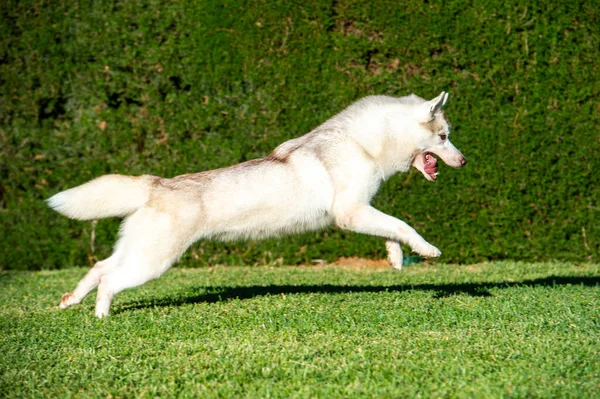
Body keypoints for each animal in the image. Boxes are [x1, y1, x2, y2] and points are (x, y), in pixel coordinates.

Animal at [49, 91, 466, 318]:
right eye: (444, 136)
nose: (464, 161)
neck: (361, 142)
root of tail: (156, 183)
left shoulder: (362, 210)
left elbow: (392, 231)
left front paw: (396, 258)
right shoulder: (350, 213)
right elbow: (403, 224)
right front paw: (426, 249)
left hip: (137, 251)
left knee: (99, 267)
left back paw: (70, 301)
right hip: (153, 263)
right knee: (109, 280)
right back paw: (101, 316)